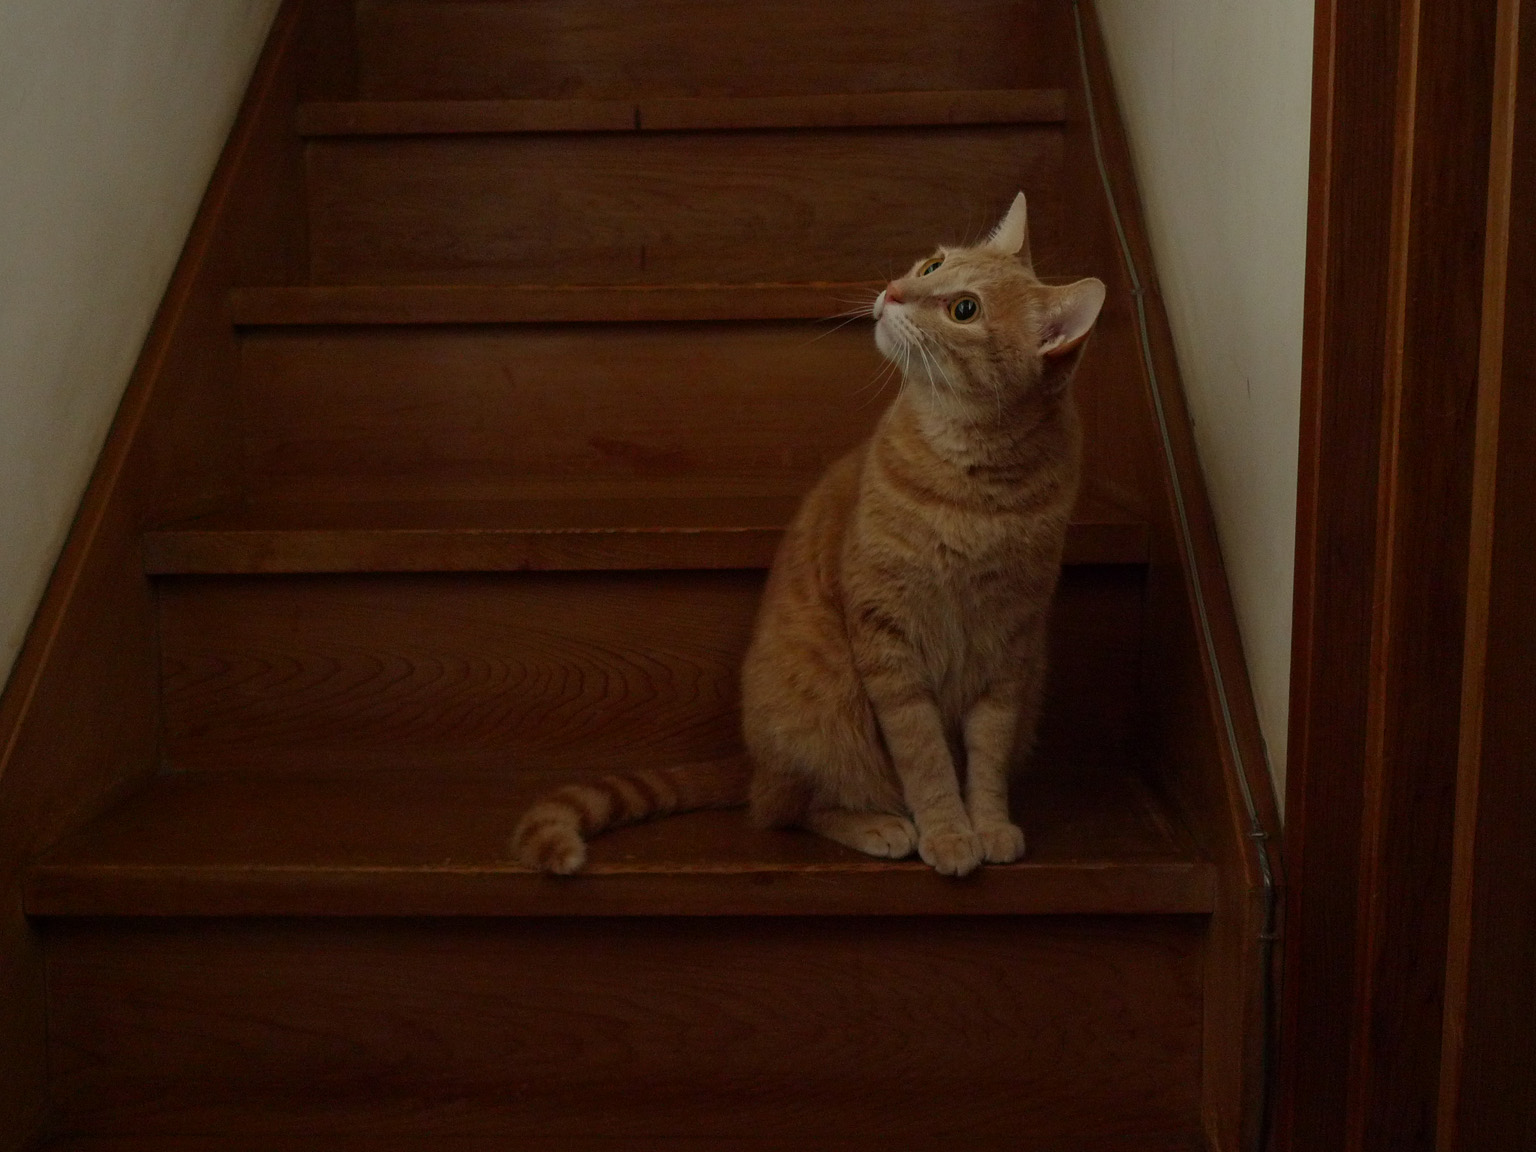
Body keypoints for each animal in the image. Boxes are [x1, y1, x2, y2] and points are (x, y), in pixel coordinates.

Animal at [513, 192, 1105, 877]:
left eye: (964, 309)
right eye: (931, 265)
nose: (893, 290)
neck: (971, 481)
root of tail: (753, 760)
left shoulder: (1010, 649)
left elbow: (985, 759)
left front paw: (987, 825)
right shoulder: (888, 642)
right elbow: (925, 758)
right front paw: (948, 832)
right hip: (827, 707)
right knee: (788, 806)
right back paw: (881, 825)